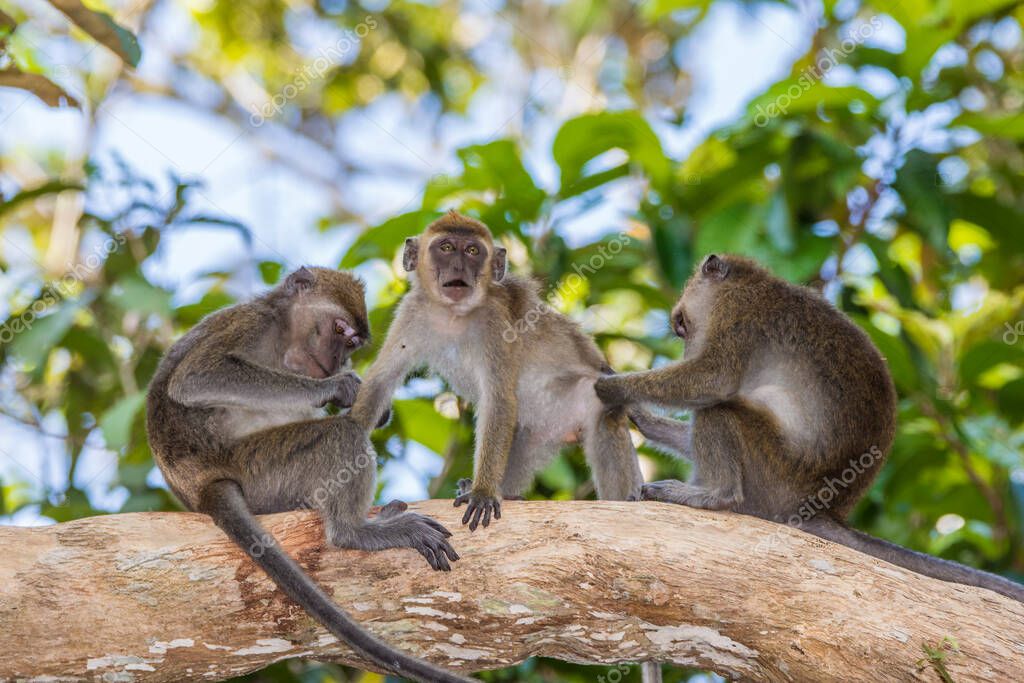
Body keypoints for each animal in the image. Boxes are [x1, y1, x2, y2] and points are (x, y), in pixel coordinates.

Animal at [146, 266, 473, 683]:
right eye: (339, 331)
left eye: (352, 344)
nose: (335, 361)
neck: (283, 335)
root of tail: (202, 488)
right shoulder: (251, 324)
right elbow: (197, 379)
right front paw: (338, 386)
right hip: (260, 468)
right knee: (340, 434)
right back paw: (355, 531)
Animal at [349, 210, 644, 532]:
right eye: (446, 247)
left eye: (473, 251)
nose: (458, 266)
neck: (454, 315)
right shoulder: (411, 311)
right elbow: (382, 381)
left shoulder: (495, 323)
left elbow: (499, 399)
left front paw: (482, 492)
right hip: (534, 433)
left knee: (606, 416)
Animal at [595, 253, 1024, 603]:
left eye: (681, 325)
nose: (685, 348)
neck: (755, 284)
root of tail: (823, 507)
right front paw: (643, 418)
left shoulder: (738, 317)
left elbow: (711, 381)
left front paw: (614, 388)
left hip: (774, 478)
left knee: (720, 412)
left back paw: (715, 495)